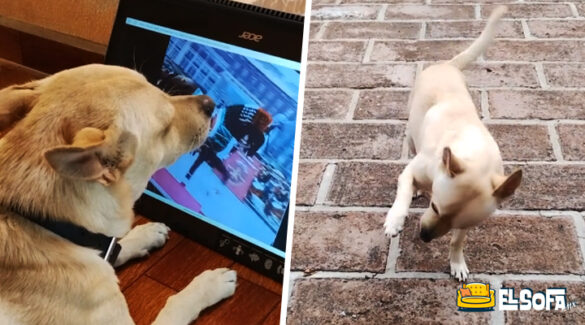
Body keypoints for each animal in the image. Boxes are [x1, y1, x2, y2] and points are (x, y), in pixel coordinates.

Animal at [0, 64, 237, 322]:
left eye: (155, 84)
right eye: (165, 128)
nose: (210, 102)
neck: (53, 224)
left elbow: (115, 247)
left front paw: (144, 234)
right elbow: (176, 304)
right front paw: (210, 284)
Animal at [384, 5, 520, 280]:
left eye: (457, 223)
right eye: (435, 207)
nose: (425, 237)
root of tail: (447, 65)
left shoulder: (465, 226)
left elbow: (457, 241)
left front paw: (457, 262)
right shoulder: (410, 172)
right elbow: (402, 192)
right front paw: (395, 219)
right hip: (412, 135)